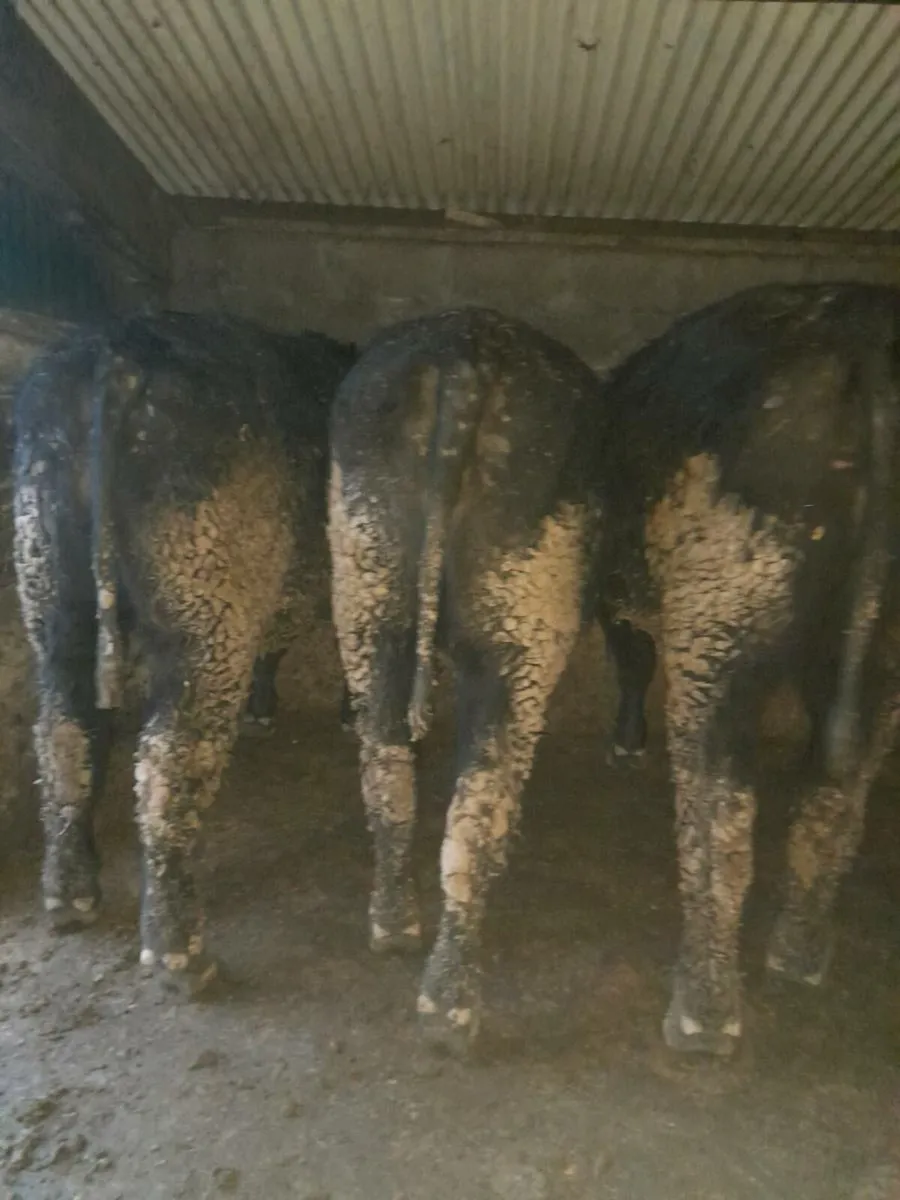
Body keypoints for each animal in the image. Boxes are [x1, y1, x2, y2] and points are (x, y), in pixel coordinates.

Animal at [13, 311, 355, 995]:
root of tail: (113, 350)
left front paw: (263, 706)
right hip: (207, 604)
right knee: (171, 762)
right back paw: (179, 952)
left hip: (50, 585)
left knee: (64, 736)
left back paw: (69, 895)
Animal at [328, 306, 616, 1051]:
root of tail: (462, 352)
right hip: (524, 617)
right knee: (478, 807)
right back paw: (450, 1009)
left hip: (366, 584)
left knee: (385, 771)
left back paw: (393, 926)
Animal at [595, 282, 900, 1056]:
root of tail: (865, 330)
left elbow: (632, 656)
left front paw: (625, 744)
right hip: (882, 645)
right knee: (837, 791)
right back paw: (799, 956)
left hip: (722, 608)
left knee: (722, 807)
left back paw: (700, 1018)